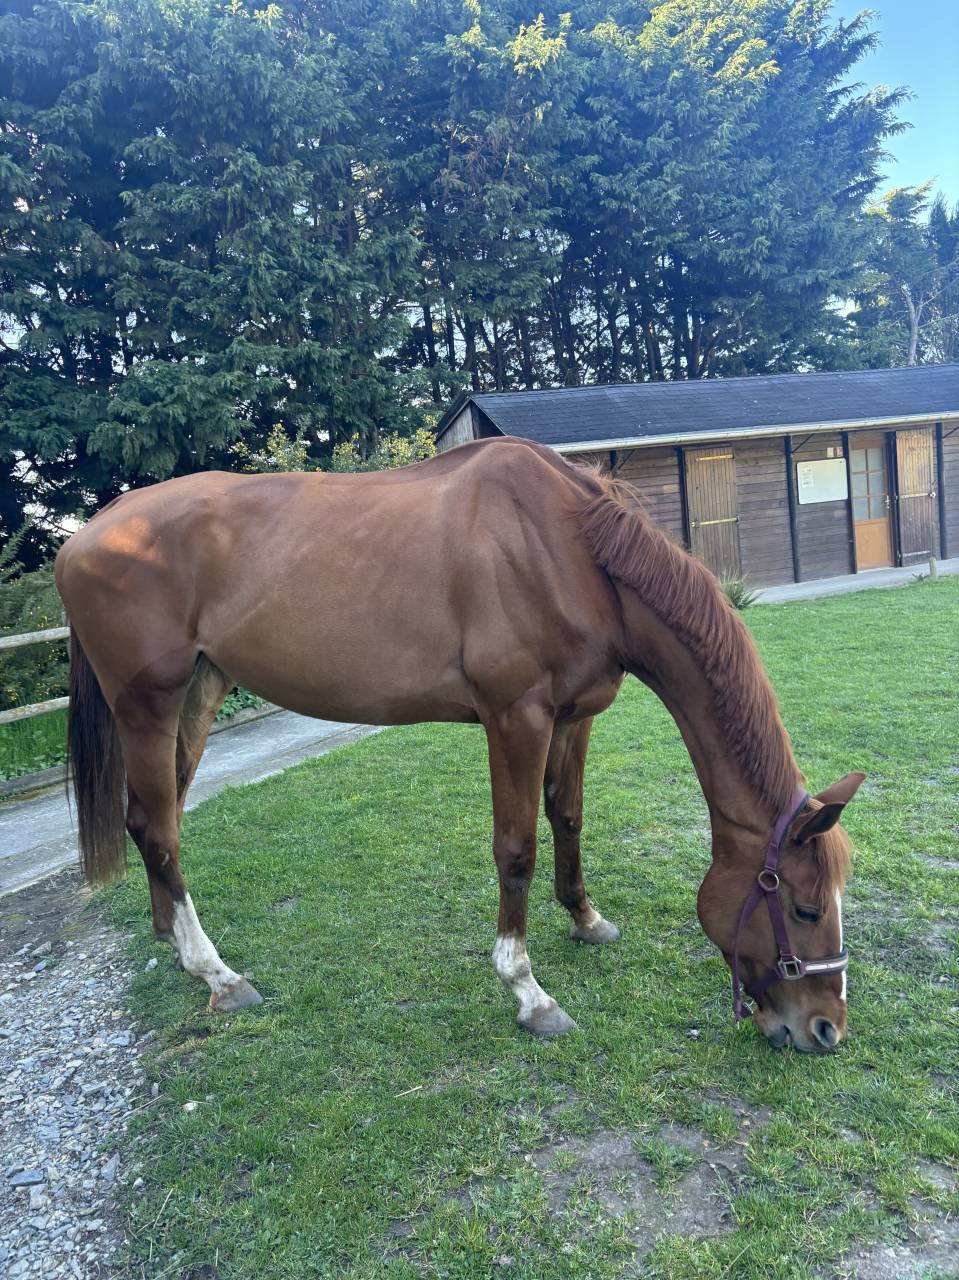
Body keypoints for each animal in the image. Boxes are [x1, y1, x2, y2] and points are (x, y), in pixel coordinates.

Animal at [55, 435, 864, 1052]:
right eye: (803, 909)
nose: (825, 1029)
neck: (569, 549)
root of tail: (90, 533)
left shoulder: (574, 716)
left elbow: (567, 818)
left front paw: (586, 920)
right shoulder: (516, 718)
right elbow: (517, 851)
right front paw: (529, 992)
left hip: (199, 692)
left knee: (150, 821)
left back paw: (171, 939)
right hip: (149, 706)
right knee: (161, 832)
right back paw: (216, 974)